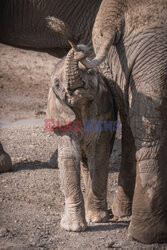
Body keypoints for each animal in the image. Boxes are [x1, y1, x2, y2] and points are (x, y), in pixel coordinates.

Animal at [46, 17, 117, 232]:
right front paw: (73, 228)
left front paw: (97, 219)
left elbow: (99, 154)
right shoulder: (61, 116)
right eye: (57, 84)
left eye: (91, 73)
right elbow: (69, 157)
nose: (57, 25)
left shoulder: (104, 111)